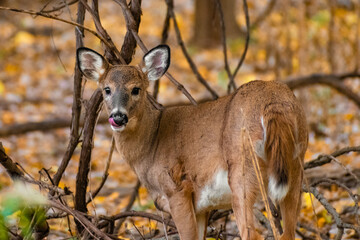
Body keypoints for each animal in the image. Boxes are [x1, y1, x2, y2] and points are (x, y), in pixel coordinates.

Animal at [77, 45, 308, 240]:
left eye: (136, 89)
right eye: (107, 89)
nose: (118, 117)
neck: (152, 144)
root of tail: (273, 103)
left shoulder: (178, 188)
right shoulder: (202, 206)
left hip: (243, 166)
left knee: (252, 233)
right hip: (295, 166)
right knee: (288, 233)